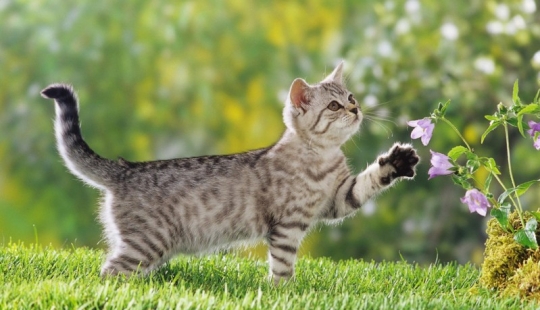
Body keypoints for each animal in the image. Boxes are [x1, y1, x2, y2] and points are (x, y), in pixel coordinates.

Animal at [42, 61, 420, 284]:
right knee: (108, 273)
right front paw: (284, 290)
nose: (356, 109)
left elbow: (369, 182)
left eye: (351, 96)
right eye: (334, 105)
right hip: (147, 242)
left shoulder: (338, 198)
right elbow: (283, 265)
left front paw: (397, 161)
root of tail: (125, 169)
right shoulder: (287, 225)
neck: (321, 158)